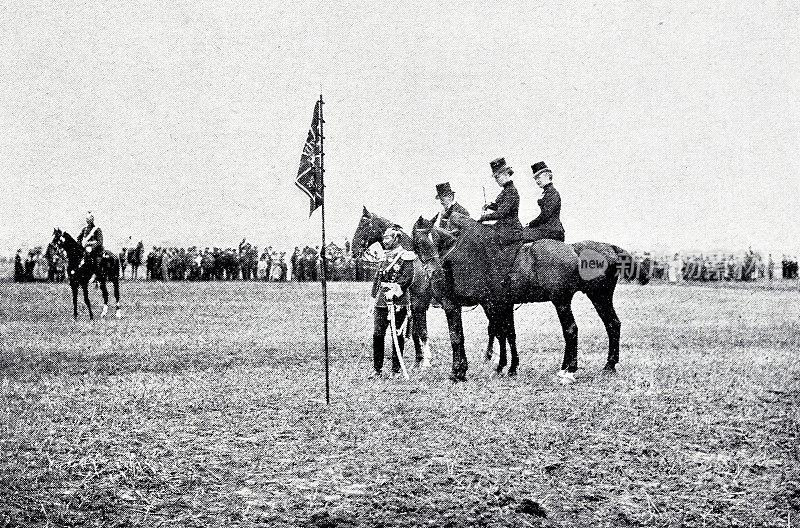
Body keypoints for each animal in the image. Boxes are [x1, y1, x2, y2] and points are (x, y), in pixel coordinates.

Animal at [348, 206, 434, 368]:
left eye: (363, 224)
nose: (353, 251)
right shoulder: (412, 307)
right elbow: (415, 333)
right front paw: (418, 360)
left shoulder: (419, 305)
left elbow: (423, 331)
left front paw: (426, 360)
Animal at [412, 214, 644, 384]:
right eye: (419, 242)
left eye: (435, 239)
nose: (434, 272)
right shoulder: (498, 304)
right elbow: (505, 333)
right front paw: (507, 367)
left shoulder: (455, 305)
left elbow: (458, 337)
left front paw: (458, 372)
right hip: (600, 297)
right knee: (612, 324)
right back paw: (608, 365)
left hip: (562, 301)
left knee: (571, 330)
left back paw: (569, 371)